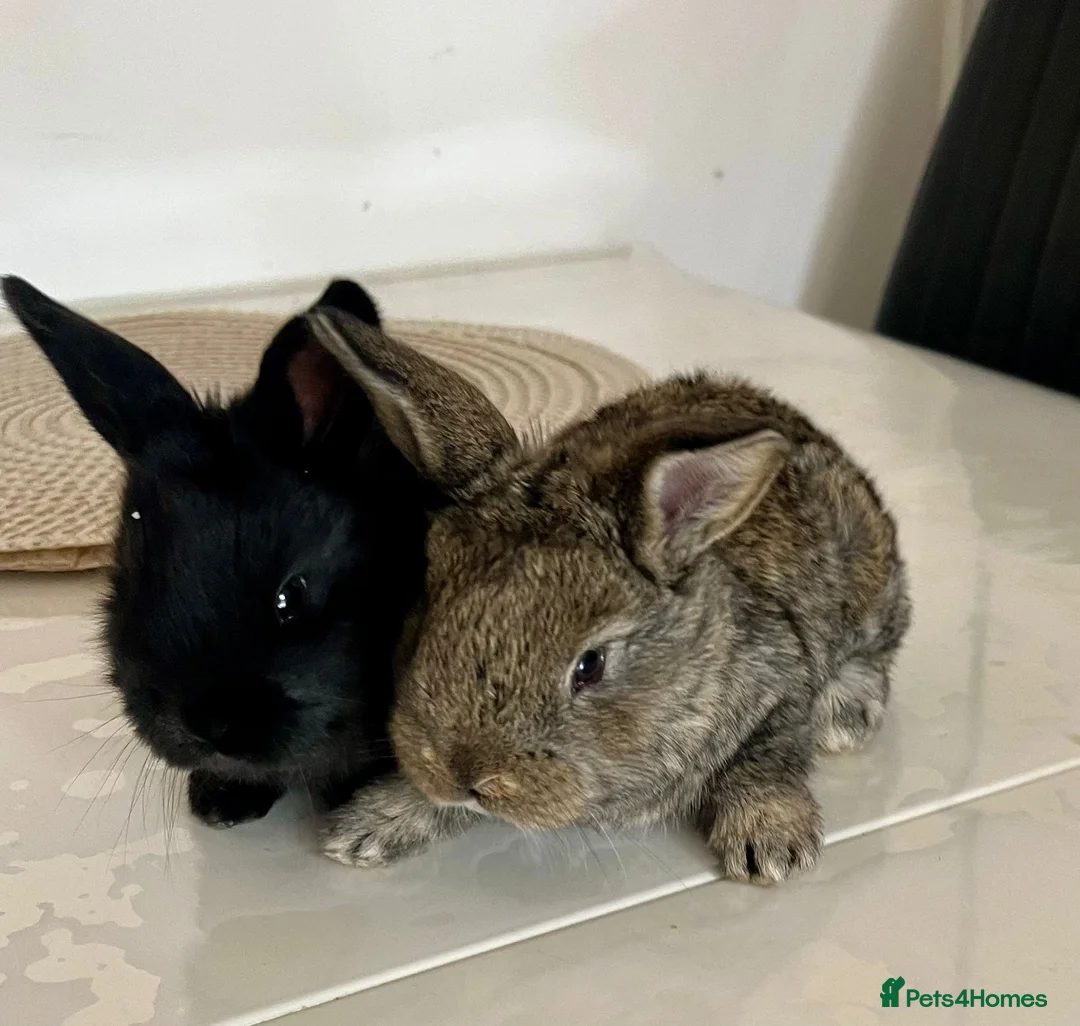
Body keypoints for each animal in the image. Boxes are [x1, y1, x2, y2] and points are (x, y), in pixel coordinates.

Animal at [304, 306, 912, 883]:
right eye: (427, 605)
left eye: (590, 665)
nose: (461, 775)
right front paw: (372, 825)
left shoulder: (784, 678)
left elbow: (771, 752)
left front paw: (770, 842)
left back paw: (848, 715)